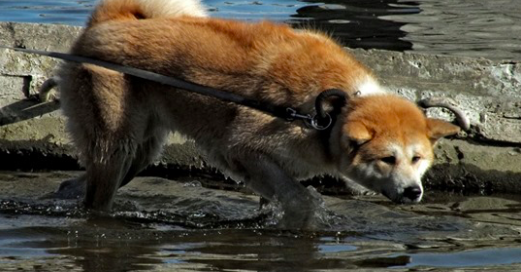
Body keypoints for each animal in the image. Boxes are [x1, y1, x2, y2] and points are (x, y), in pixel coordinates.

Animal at [55, 0, 460, 228]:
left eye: (417, 158)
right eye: (388, 158)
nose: (413, 192)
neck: (328, 114)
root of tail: (108, 20)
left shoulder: (258, 166)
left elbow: (276, 196)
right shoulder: (245, 148)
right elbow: (300, 198)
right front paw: (305, 217)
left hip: (140, 152)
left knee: (82, 182)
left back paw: (62, 193)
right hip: (116, 144)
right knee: (98, 195)